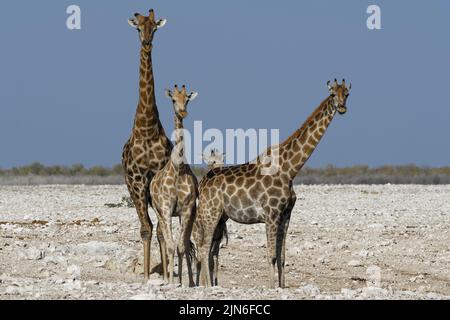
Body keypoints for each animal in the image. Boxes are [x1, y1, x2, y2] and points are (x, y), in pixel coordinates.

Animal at [193, 79, 352, 288]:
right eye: (333, 94)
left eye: (347, 94)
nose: (342, 107)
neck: (290, 169)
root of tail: (203, 183)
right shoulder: (271, 214)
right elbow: (271, 256)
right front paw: (271, 287)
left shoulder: (286, 215)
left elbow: (282, 256)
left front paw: (282, 286)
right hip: (209, 212)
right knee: (203, 247)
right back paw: (208, 286)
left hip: (221, 217)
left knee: (211, 249)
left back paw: (209, 284)